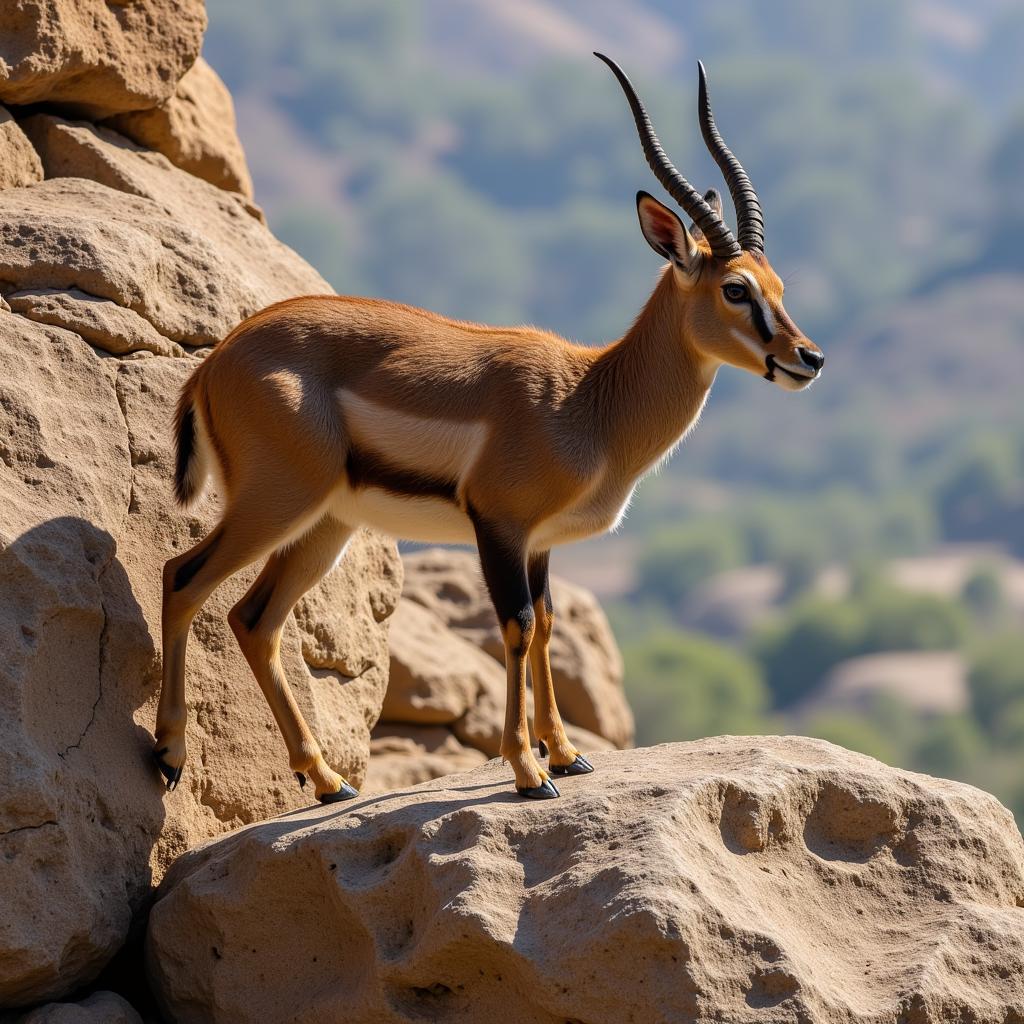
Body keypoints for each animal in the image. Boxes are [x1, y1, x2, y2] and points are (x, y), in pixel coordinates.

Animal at [151, 56, 823, 802]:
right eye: (735, 289)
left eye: (778, 286)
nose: (808, 359)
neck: (588, 399)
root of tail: (217, 360)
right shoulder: (499, 526)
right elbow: (518, 627)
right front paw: (529, 772)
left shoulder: (541, 544)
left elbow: (549, 624)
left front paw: (567, 755)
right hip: (274, 505)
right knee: (183, 578)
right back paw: (170, 756)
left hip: (325, 524)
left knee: (253, 620)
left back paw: (327, 781)